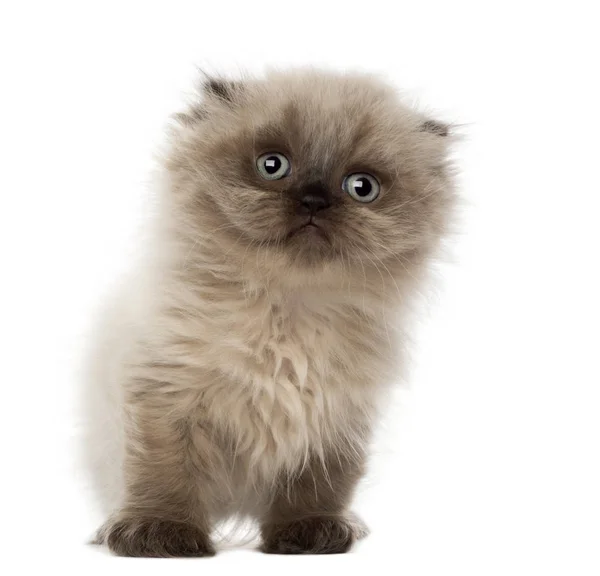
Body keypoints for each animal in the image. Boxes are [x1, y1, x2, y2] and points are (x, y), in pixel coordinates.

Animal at [85, 68, 454, 560]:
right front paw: (162, 534)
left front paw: (310, 533)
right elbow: (165, 477)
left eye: (362, 187)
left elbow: (317, 489)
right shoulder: (167, 398)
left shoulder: (334, 419)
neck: (285, 310)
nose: (314, 200)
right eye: (273, 165)